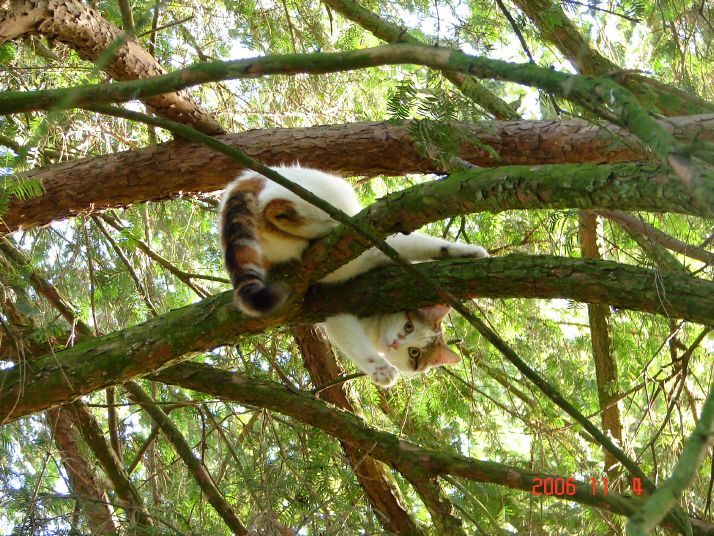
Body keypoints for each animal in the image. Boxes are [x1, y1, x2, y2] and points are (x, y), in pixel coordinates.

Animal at [220, 165, 486, 388]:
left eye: (415, 353)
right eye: (409, 327)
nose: (396, 342)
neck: (376, 327)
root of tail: (247, 178)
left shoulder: (337, 315)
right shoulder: (384, 253)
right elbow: (427, 245)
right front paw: (469, 251)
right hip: (327, 191)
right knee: (276, 207)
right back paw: (332, 224)